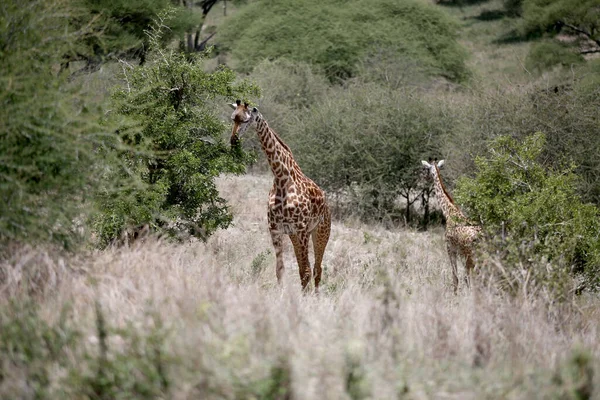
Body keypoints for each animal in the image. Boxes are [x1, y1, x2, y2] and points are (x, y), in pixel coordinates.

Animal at [230, 101, 332, 292]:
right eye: (233, 118)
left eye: (246, 119)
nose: (233, 140)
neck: (281, 177)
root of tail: (327, 204)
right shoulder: (276, 229)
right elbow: (280, 270)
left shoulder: (301, 229)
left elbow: (306, 271)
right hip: (295, 235)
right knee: (307, 268)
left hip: (321, 232)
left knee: (316, 269)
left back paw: (315, 295)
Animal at [422, 158, 482, 292]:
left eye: (426, 169)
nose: (425, 177)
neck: (449, 213)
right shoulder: (460, 254)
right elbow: (464, 278)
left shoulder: (450, 249)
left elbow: (456, 278)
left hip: (472, 255)